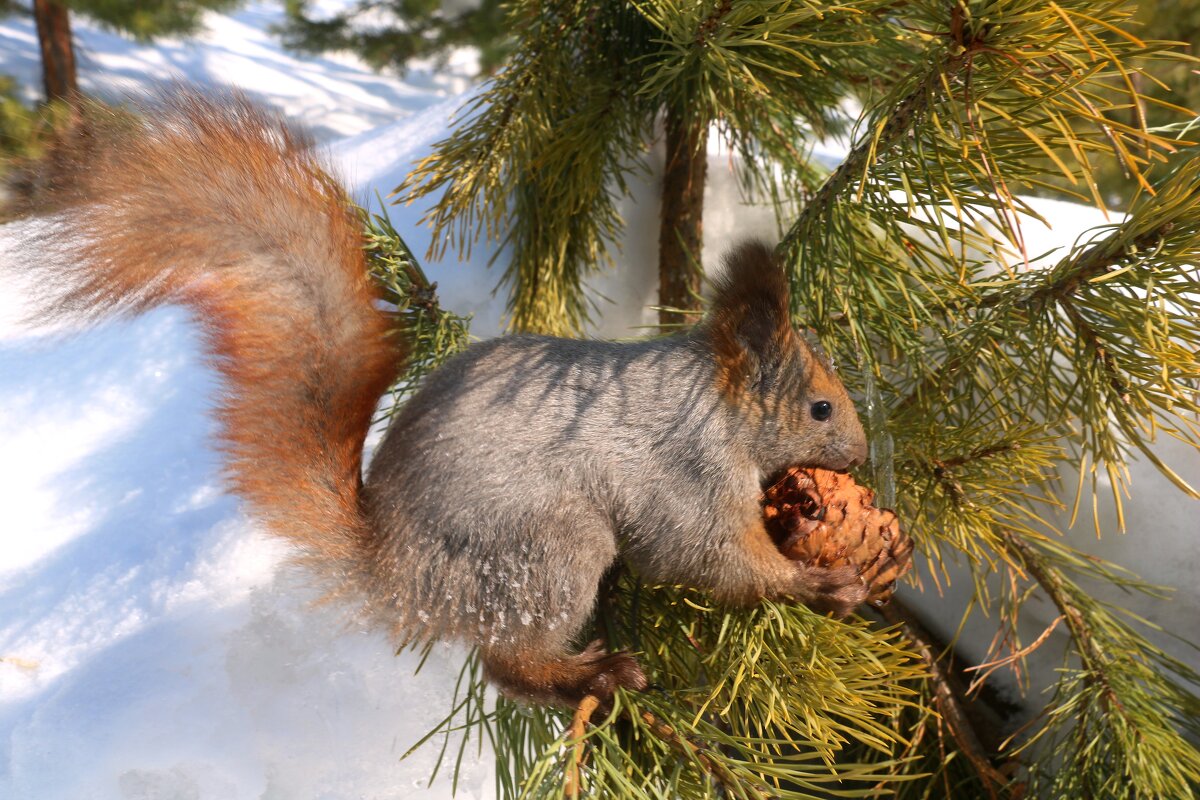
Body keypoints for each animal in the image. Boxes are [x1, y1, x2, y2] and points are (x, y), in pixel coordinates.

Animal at [9, 90, 873, 710]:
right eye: (822, 408)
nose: (864, 457)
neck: (715, 405)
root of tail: (393, 568)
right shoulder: (688, 477)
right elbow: (713, 559)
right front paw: (820, 583)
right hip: (547, 551)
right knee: (506, 663)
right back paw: (586, 677)